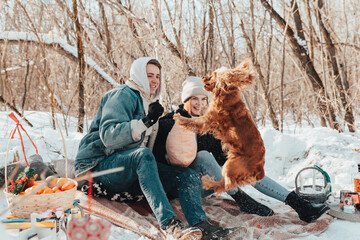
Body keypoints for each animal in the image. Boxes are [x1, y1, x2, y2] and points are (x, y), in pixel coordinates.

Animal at [174, 59, 264, 194]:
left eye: (213, 75)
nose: (203, 76)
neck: (226, 93)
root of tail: (260, 169)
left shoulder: (208, 119)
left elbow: (194, 121)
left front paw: (179, 118)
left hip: (230, 166)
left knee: (225, 185)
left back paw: (208, 182)